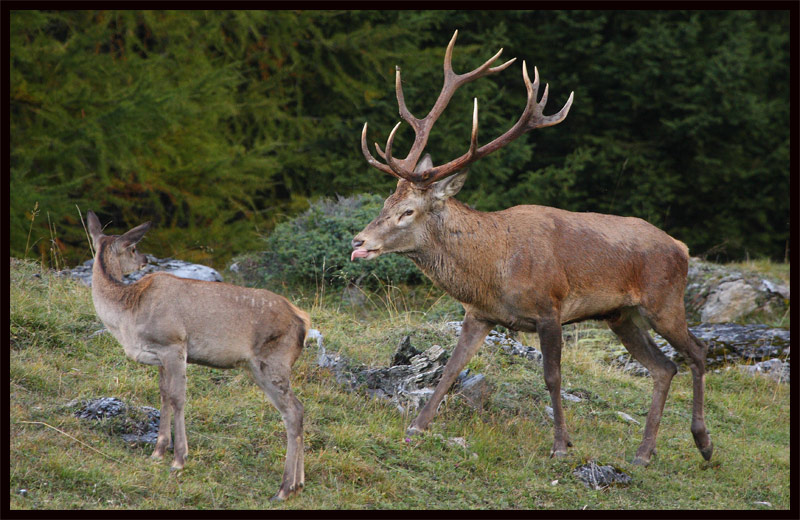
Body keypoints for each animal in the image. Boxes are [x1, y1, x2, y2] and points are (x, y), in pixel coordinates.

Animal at [86, 210, 308, 501]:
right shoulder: (159, 354)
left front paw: (179, 459)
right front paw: (158, 451)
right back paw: (298, 484)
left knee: (292, 412)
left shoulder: (174, 343)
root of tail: (302, 321)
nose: (145, 259)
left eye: (133, 247)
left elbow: (178, 398)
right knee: (299, 409)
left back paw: (283, 488)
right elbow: (164, 396)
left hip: (273, 362)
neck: (127, 314)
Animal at [351, 31, 713, 466]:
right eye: (385, 203)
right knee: (664, 368)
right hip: (621, 315)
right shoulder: (479, 314)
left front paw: (560, 444)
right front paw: (417, 426)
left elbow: (552, 377)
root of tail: (681, 246)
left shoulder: (549, 307)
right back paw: (643, 453)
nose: (358, 241)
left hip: (665, 300)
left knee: (697, 352)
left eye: (407, 211)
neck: (492, 269)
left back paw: (703, 442)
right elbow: (452, 368)